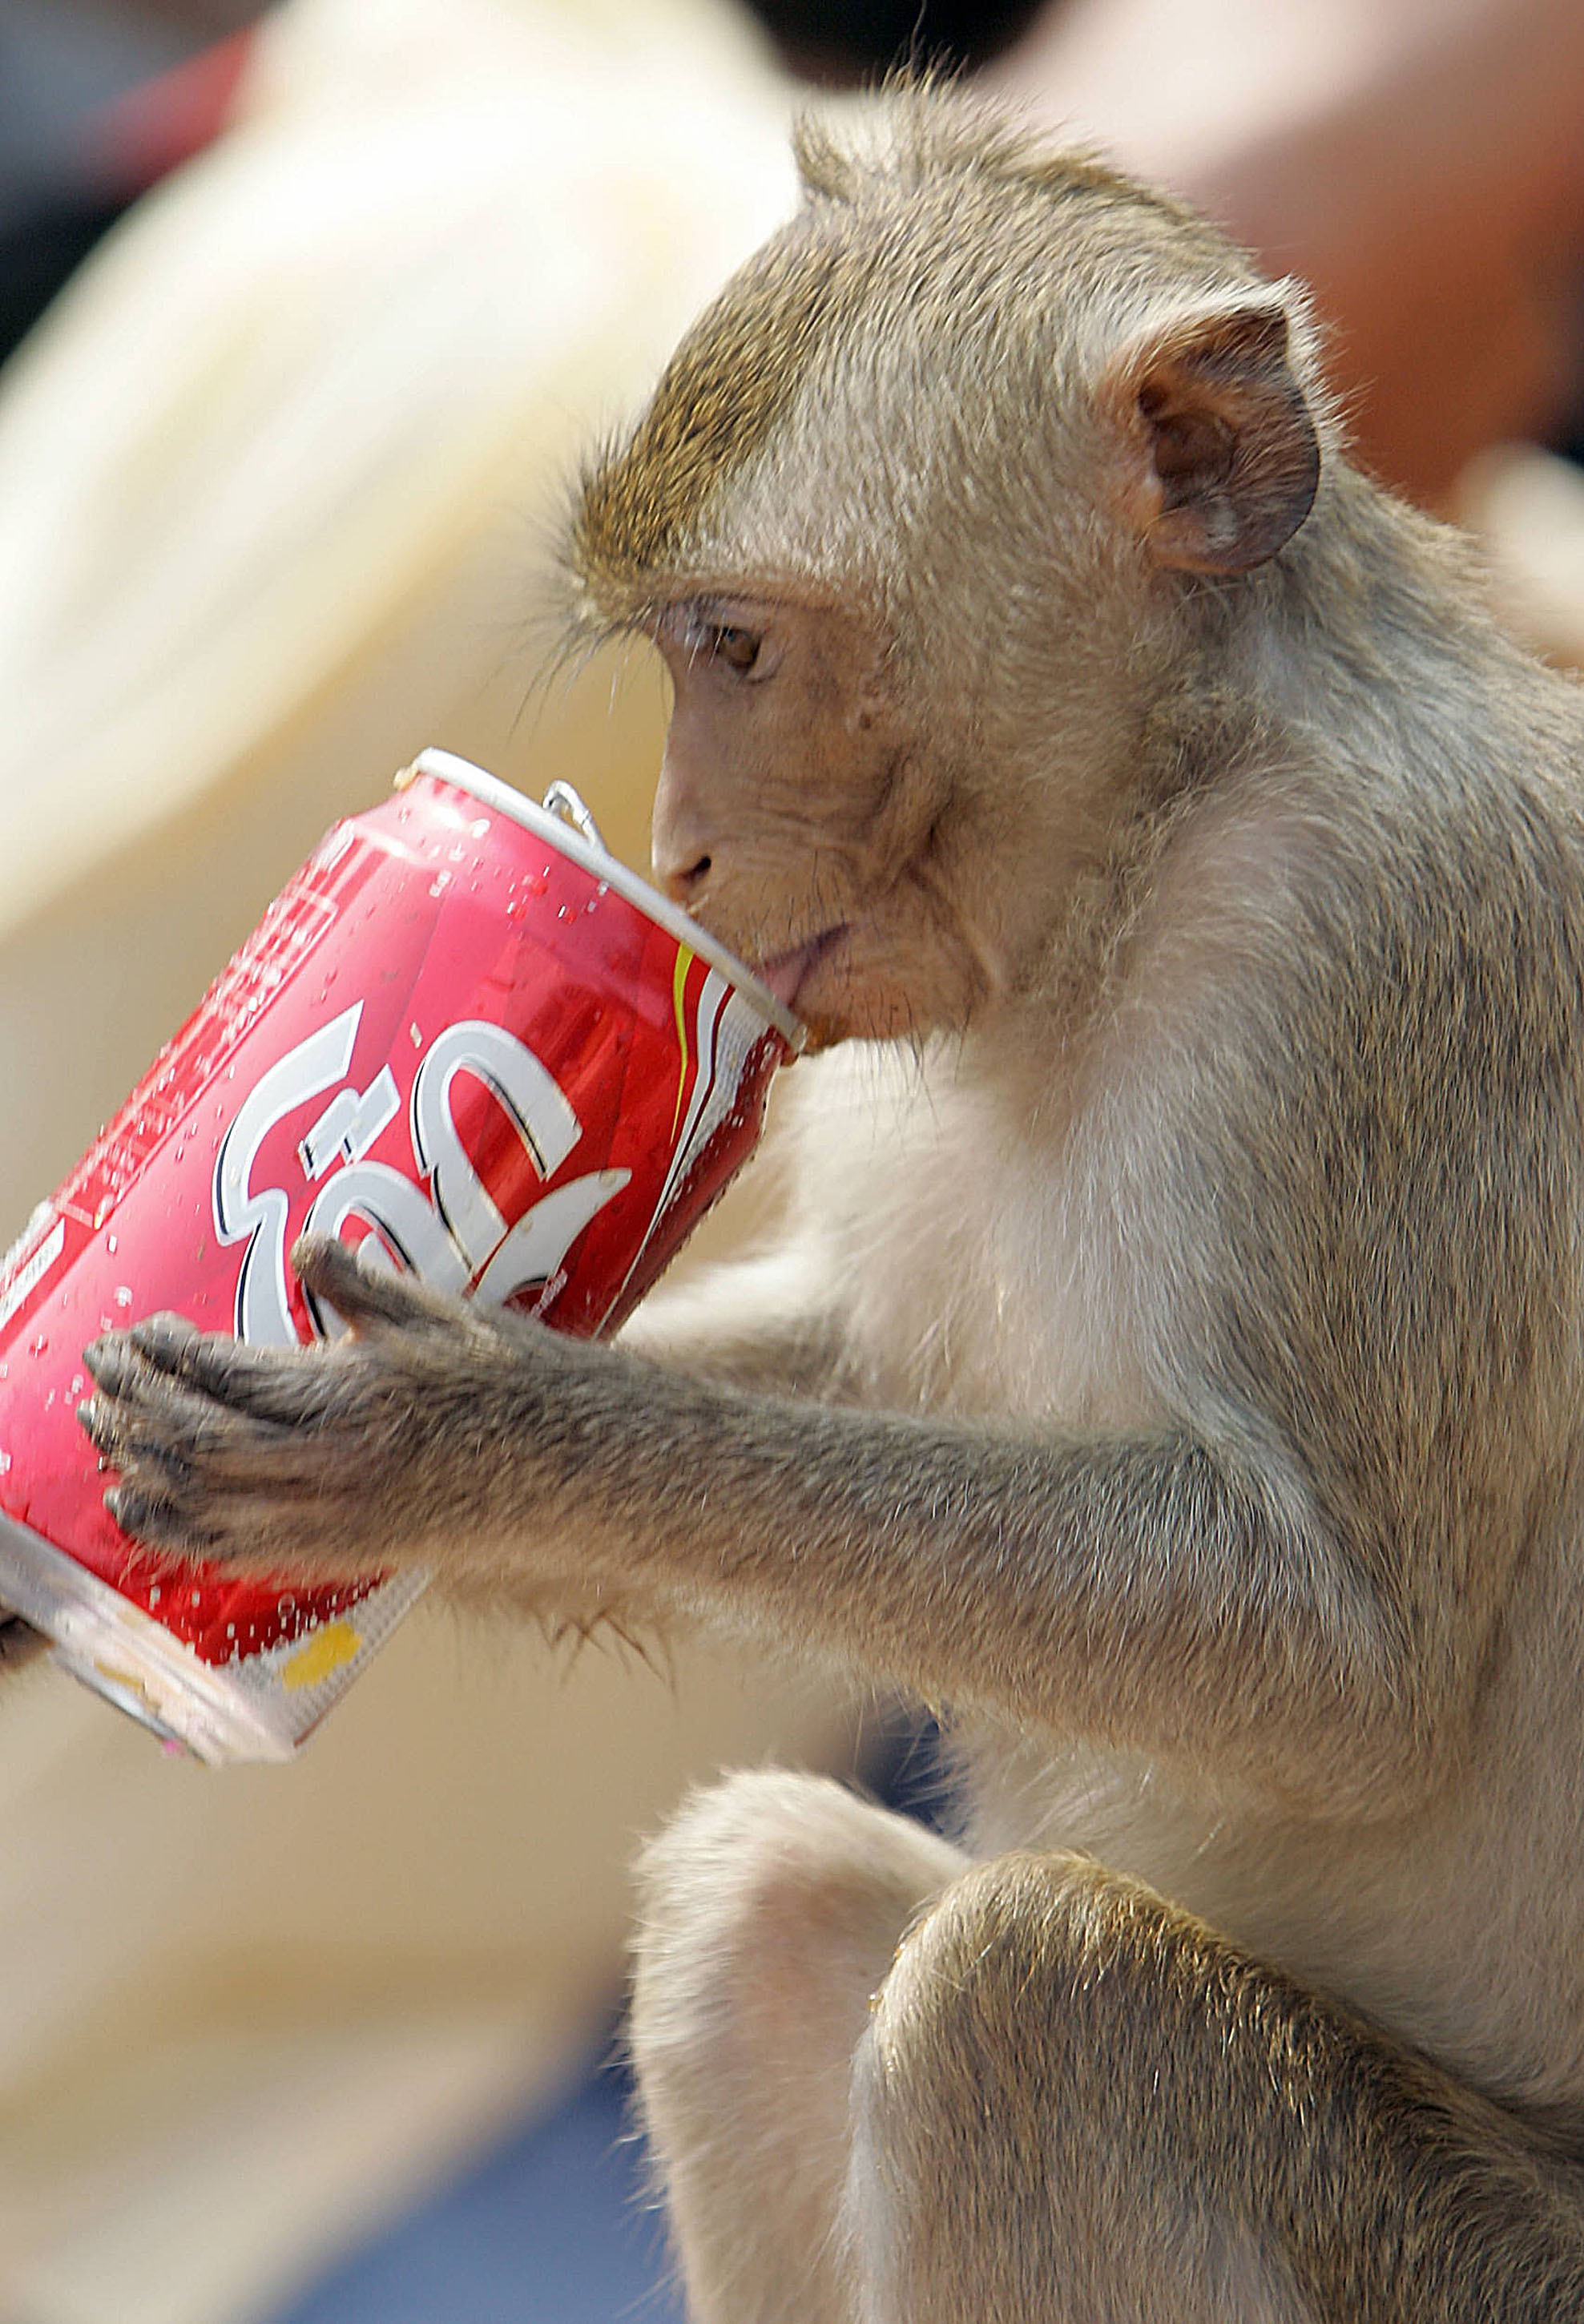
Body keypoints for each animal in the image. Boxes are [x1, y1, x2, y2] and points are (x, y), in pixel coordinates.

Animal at [74, 82, 1584, 2314]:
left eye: (737, 648)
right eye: (681, 657)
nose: (676, 856)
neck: (1150, 830)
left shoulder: (1380, 963)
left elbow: (1342, 1659)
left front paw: (462, 1433)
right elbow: (866, 1364)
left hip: (1474, 2265)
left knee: (1022, 1994)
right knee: (762, 1897)